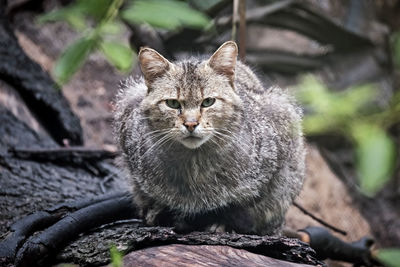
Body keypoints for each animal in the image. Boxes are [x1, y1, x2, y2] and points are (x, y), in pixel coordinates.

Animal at [114, 40, 304, 236]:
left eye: (208, 102)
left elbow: (246, 206)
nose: (191, 124)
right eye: (172, 103)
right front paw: (158, 211)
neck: (194, 165)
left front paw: (221, 222)